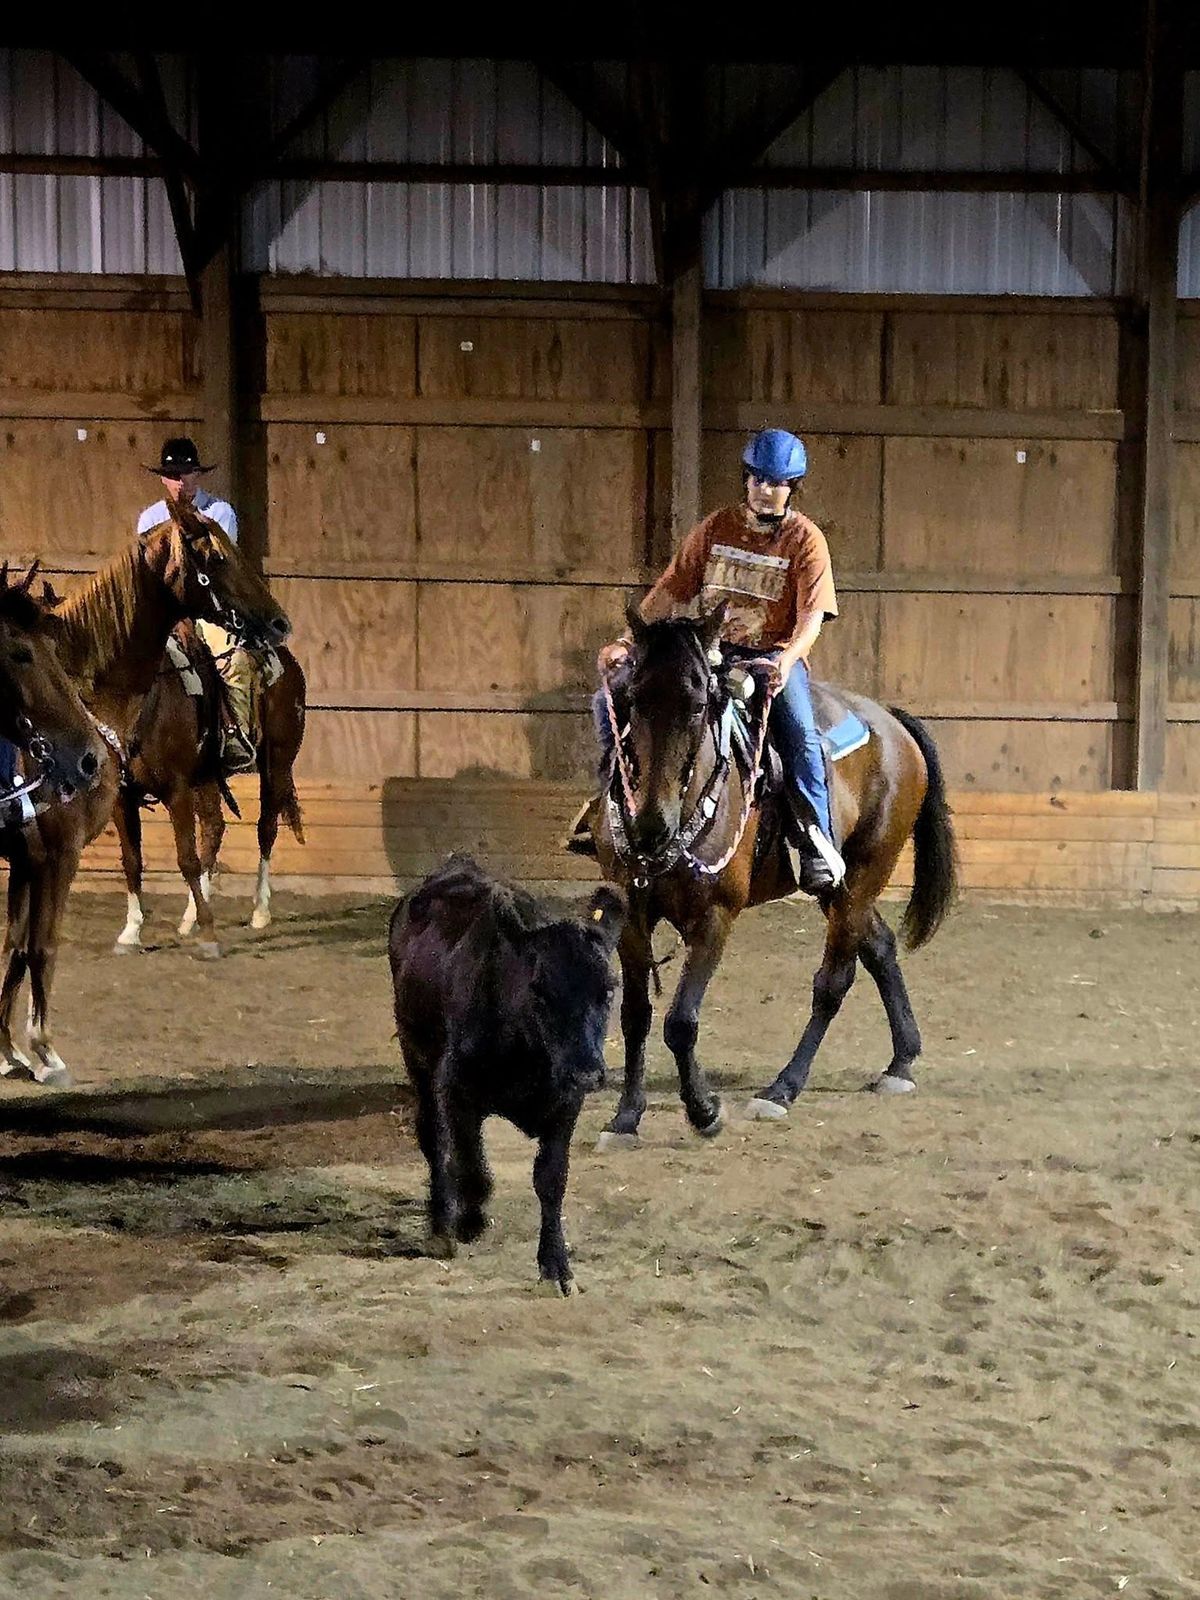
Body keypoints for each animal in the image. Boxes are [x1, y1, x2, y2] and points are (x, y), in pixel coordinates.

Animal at [113, 636, 305, 947]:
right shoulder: (121, 797)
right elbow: (132, 861)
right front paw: (131, 930)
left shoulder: (177, 790)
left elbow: (186, 857)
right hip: (206, 779)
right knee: (214, 828)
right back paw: (191, 917)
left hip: (277, 763)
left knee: (266, 829)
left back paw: (260, 911)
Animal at [390, 857, 630, 1292]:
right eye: (539, 990)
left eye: (607, 989)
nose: (587, 1071)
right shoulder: (454, 1088)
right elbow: (471, 1165)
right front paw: (468, 1220)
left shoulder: (566, 1101)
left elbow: (551, 1178)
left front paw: (556, 1264)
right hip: (416, 1055)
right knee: (433, 1137)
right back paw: (440, 1224)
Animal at [588, 601, 966, 1139]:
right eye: (634, 698)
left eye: (698, 705)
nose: (650, 827)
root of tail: (892, 723)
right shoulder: (633, 910)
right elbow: (636, 1013)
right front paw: (625, 1116)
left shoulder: (717, 915)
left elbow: (681, 1020)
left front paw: (704, 1110)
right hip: (837, 885)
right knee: (879, 946)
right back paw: (901, 1063)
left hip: (866, 873)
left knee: (833, 983)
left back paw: (782, 1088)